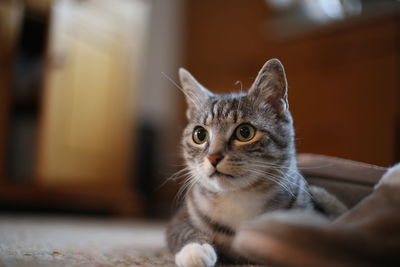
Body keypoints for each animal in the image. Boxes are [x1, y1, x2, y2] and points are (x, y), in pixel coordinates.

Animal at [166, 59, 346, 267]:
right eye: (199, 134)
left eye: (245, 132)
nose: (213, 157)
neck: (238, 197)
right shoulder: (180, 217)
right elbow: (182, 232)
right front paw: (195, 251)